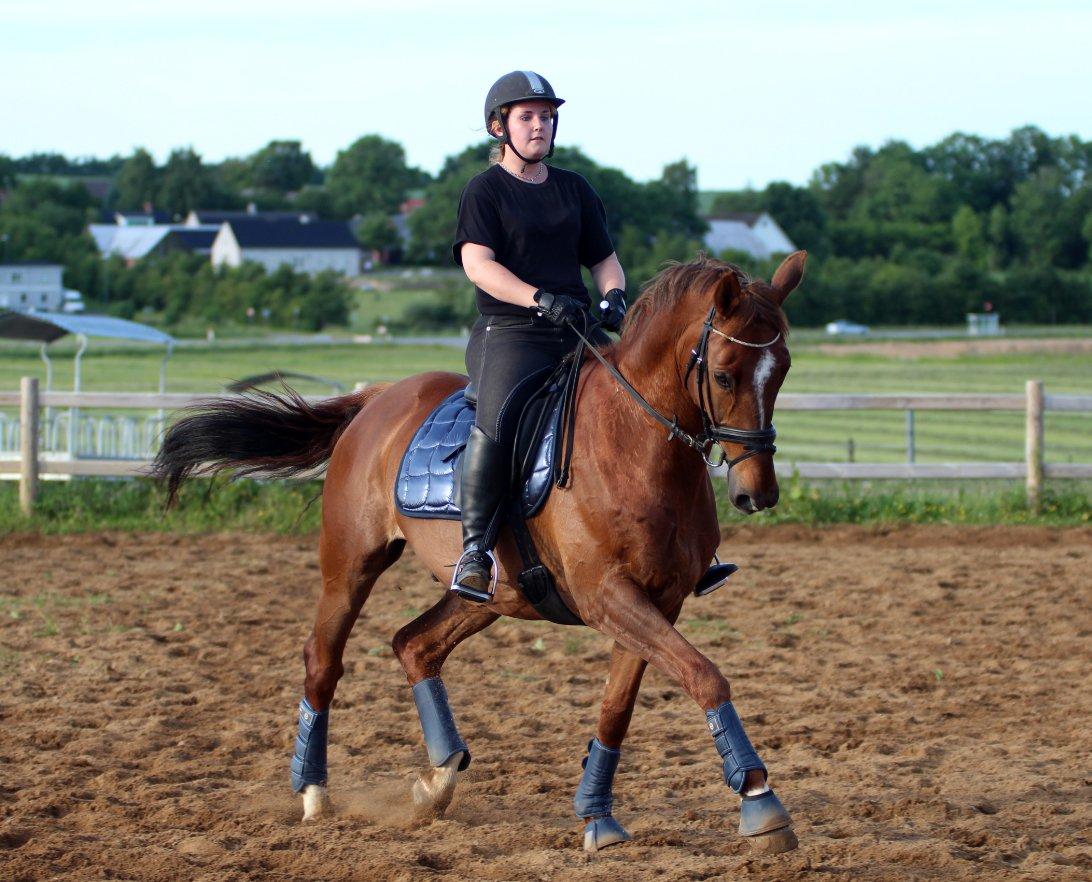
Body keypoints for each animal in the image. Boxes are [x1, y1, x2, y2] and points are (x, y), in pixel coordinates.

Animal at [151, 247, 803, 855]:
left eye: (782, 372)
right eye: (725, 375)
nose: (758, 494)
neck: (634, 443)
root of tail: (378, 400)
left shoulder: (657, 601)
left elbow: (620, 706)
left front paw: (597, 816)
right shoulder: (607, 596)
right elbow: (706, 676)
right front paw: (759, 799)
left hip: (490, 595)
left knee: (414, 644)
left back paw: (438, 782)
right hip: (351, 564)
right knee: (324, 660)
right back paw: (314, 794)